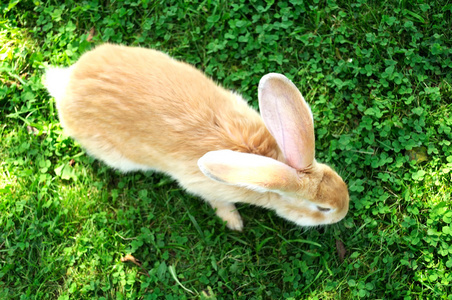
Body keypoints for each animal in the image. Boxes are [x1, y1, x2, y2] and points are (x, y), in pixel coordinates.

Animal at [45, 43, 350, 231]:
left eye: (339, 179)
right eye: (323, 209)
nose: (344, 211)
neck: (268, 161)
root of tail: (67, 84)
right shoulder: (208, 188)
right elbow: (219, 204)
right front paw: (234, 222)